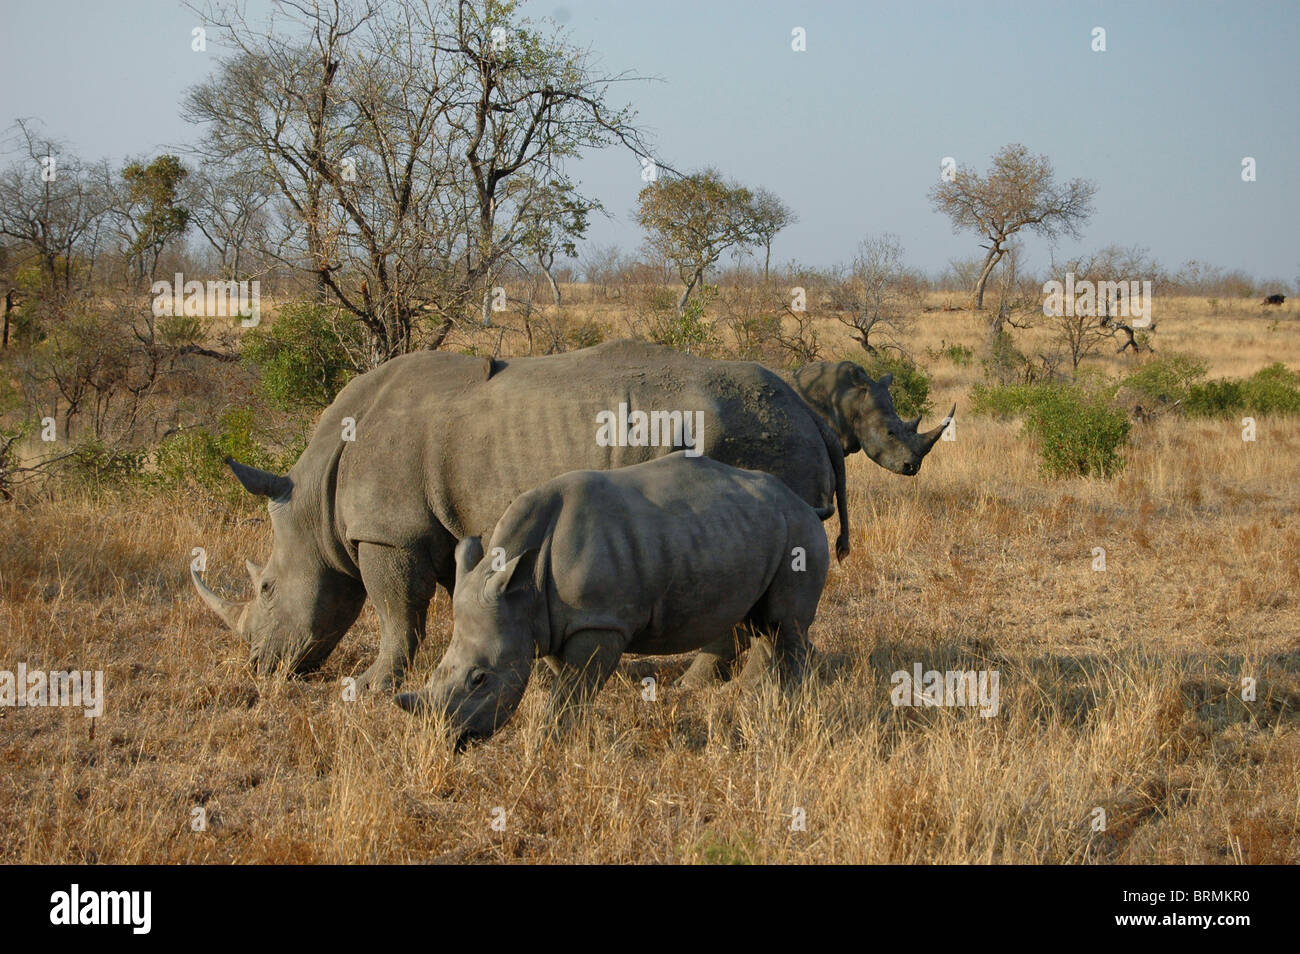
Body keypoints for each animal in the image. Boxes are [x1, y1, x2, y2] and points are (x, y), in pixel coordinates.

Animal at [191, 340, 948, 692]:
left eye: (264, 588)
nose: (258, 666)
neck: (314, 494)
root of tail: (808, 413)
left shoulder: (387, 532)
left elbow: (393, 611)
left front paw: (374, 687)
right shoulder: (441, 527)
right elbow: (437, 606)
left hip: (758, 440)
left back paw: (712, 688)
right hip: (766, 440)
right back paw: (713, 684)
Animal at [395, 453, 829, 743]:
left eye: (480, 679)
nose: (447, 740)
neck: (523, 588)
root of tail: (805, 502)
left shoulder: (599, 620)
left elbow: (573, 688)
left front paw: (551, 743)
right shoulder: (552, 621)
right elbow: (569, 682)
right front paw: (575, 736)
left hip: (798, 532)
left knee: (785, 623)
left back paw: (786, 707)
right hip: (749, 528)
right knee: (764, 624)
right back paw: (753, 698)